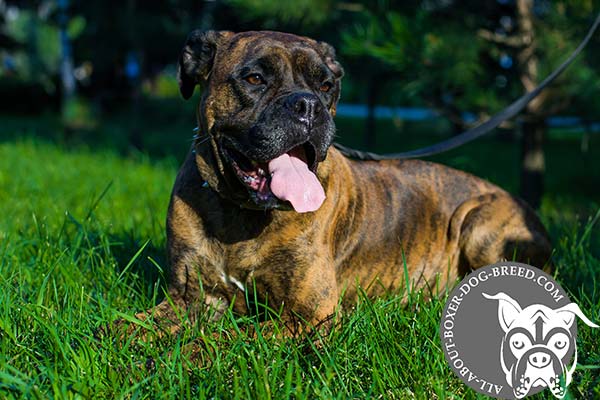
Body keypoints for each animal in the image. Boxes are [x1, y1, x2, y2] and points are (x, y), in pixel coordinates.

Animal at [135, 28, 548, 334]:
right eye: (254, 78)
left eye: (326, 85)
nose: (308, 105)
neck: (241, 214)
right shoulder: (185, 298)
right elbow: (129, 328)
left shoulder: (306, 314)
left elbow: (227, 340)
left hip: (478, 223)